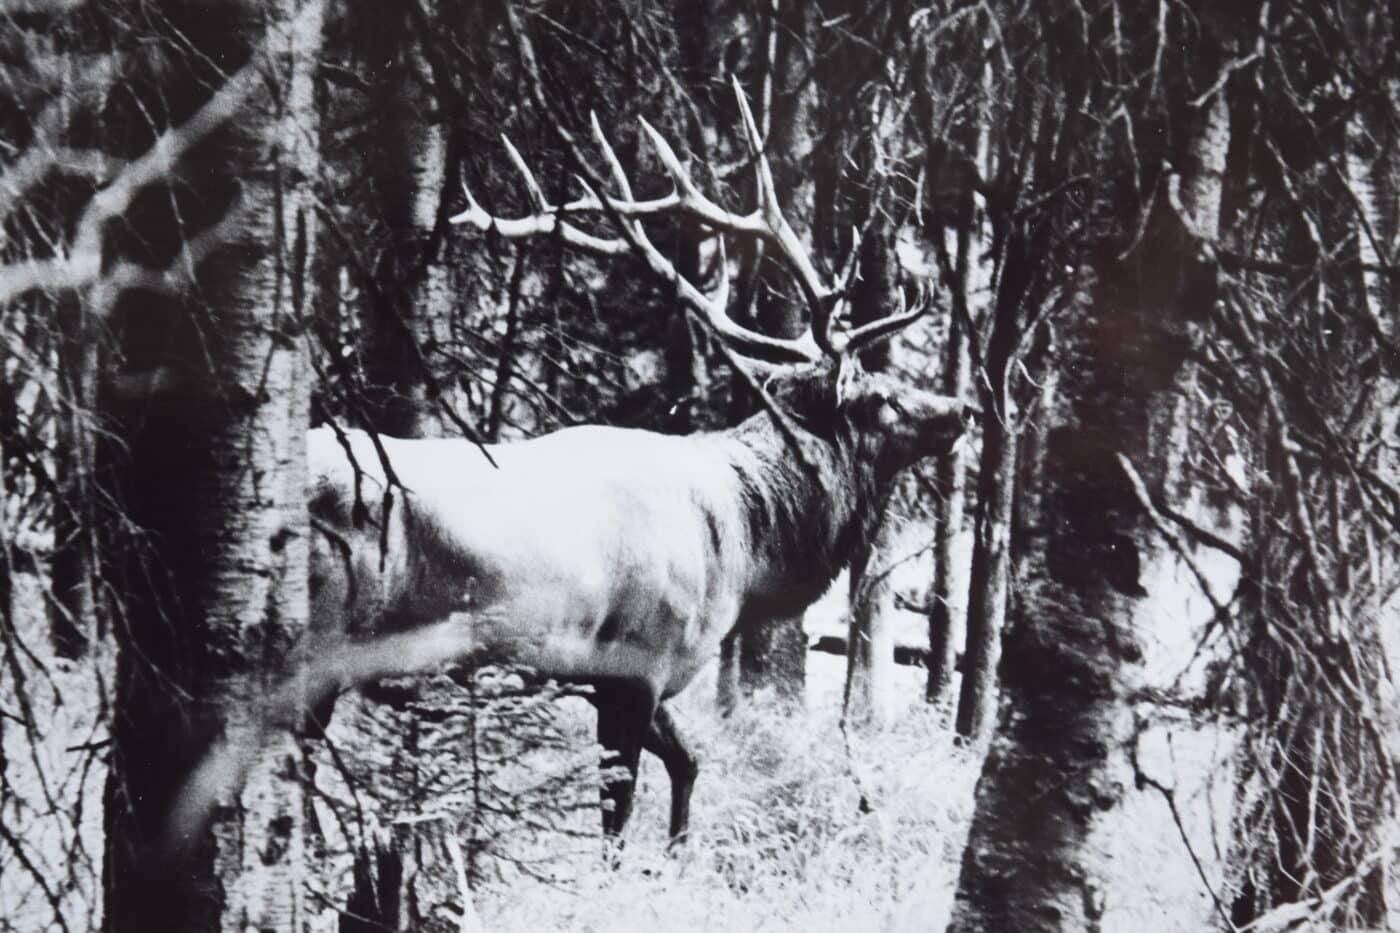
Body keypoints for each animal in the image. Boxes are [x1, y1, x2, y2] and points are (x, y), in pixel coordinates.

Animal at [301, 85, 968, 840]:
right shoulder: (634, 665)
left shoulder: (622, 680)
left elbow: (689, 762)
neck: (746, 548)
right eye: (882, 397)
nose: (964, 410)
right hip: (317, 643)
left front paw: (678, 851)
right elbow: (617, 814)